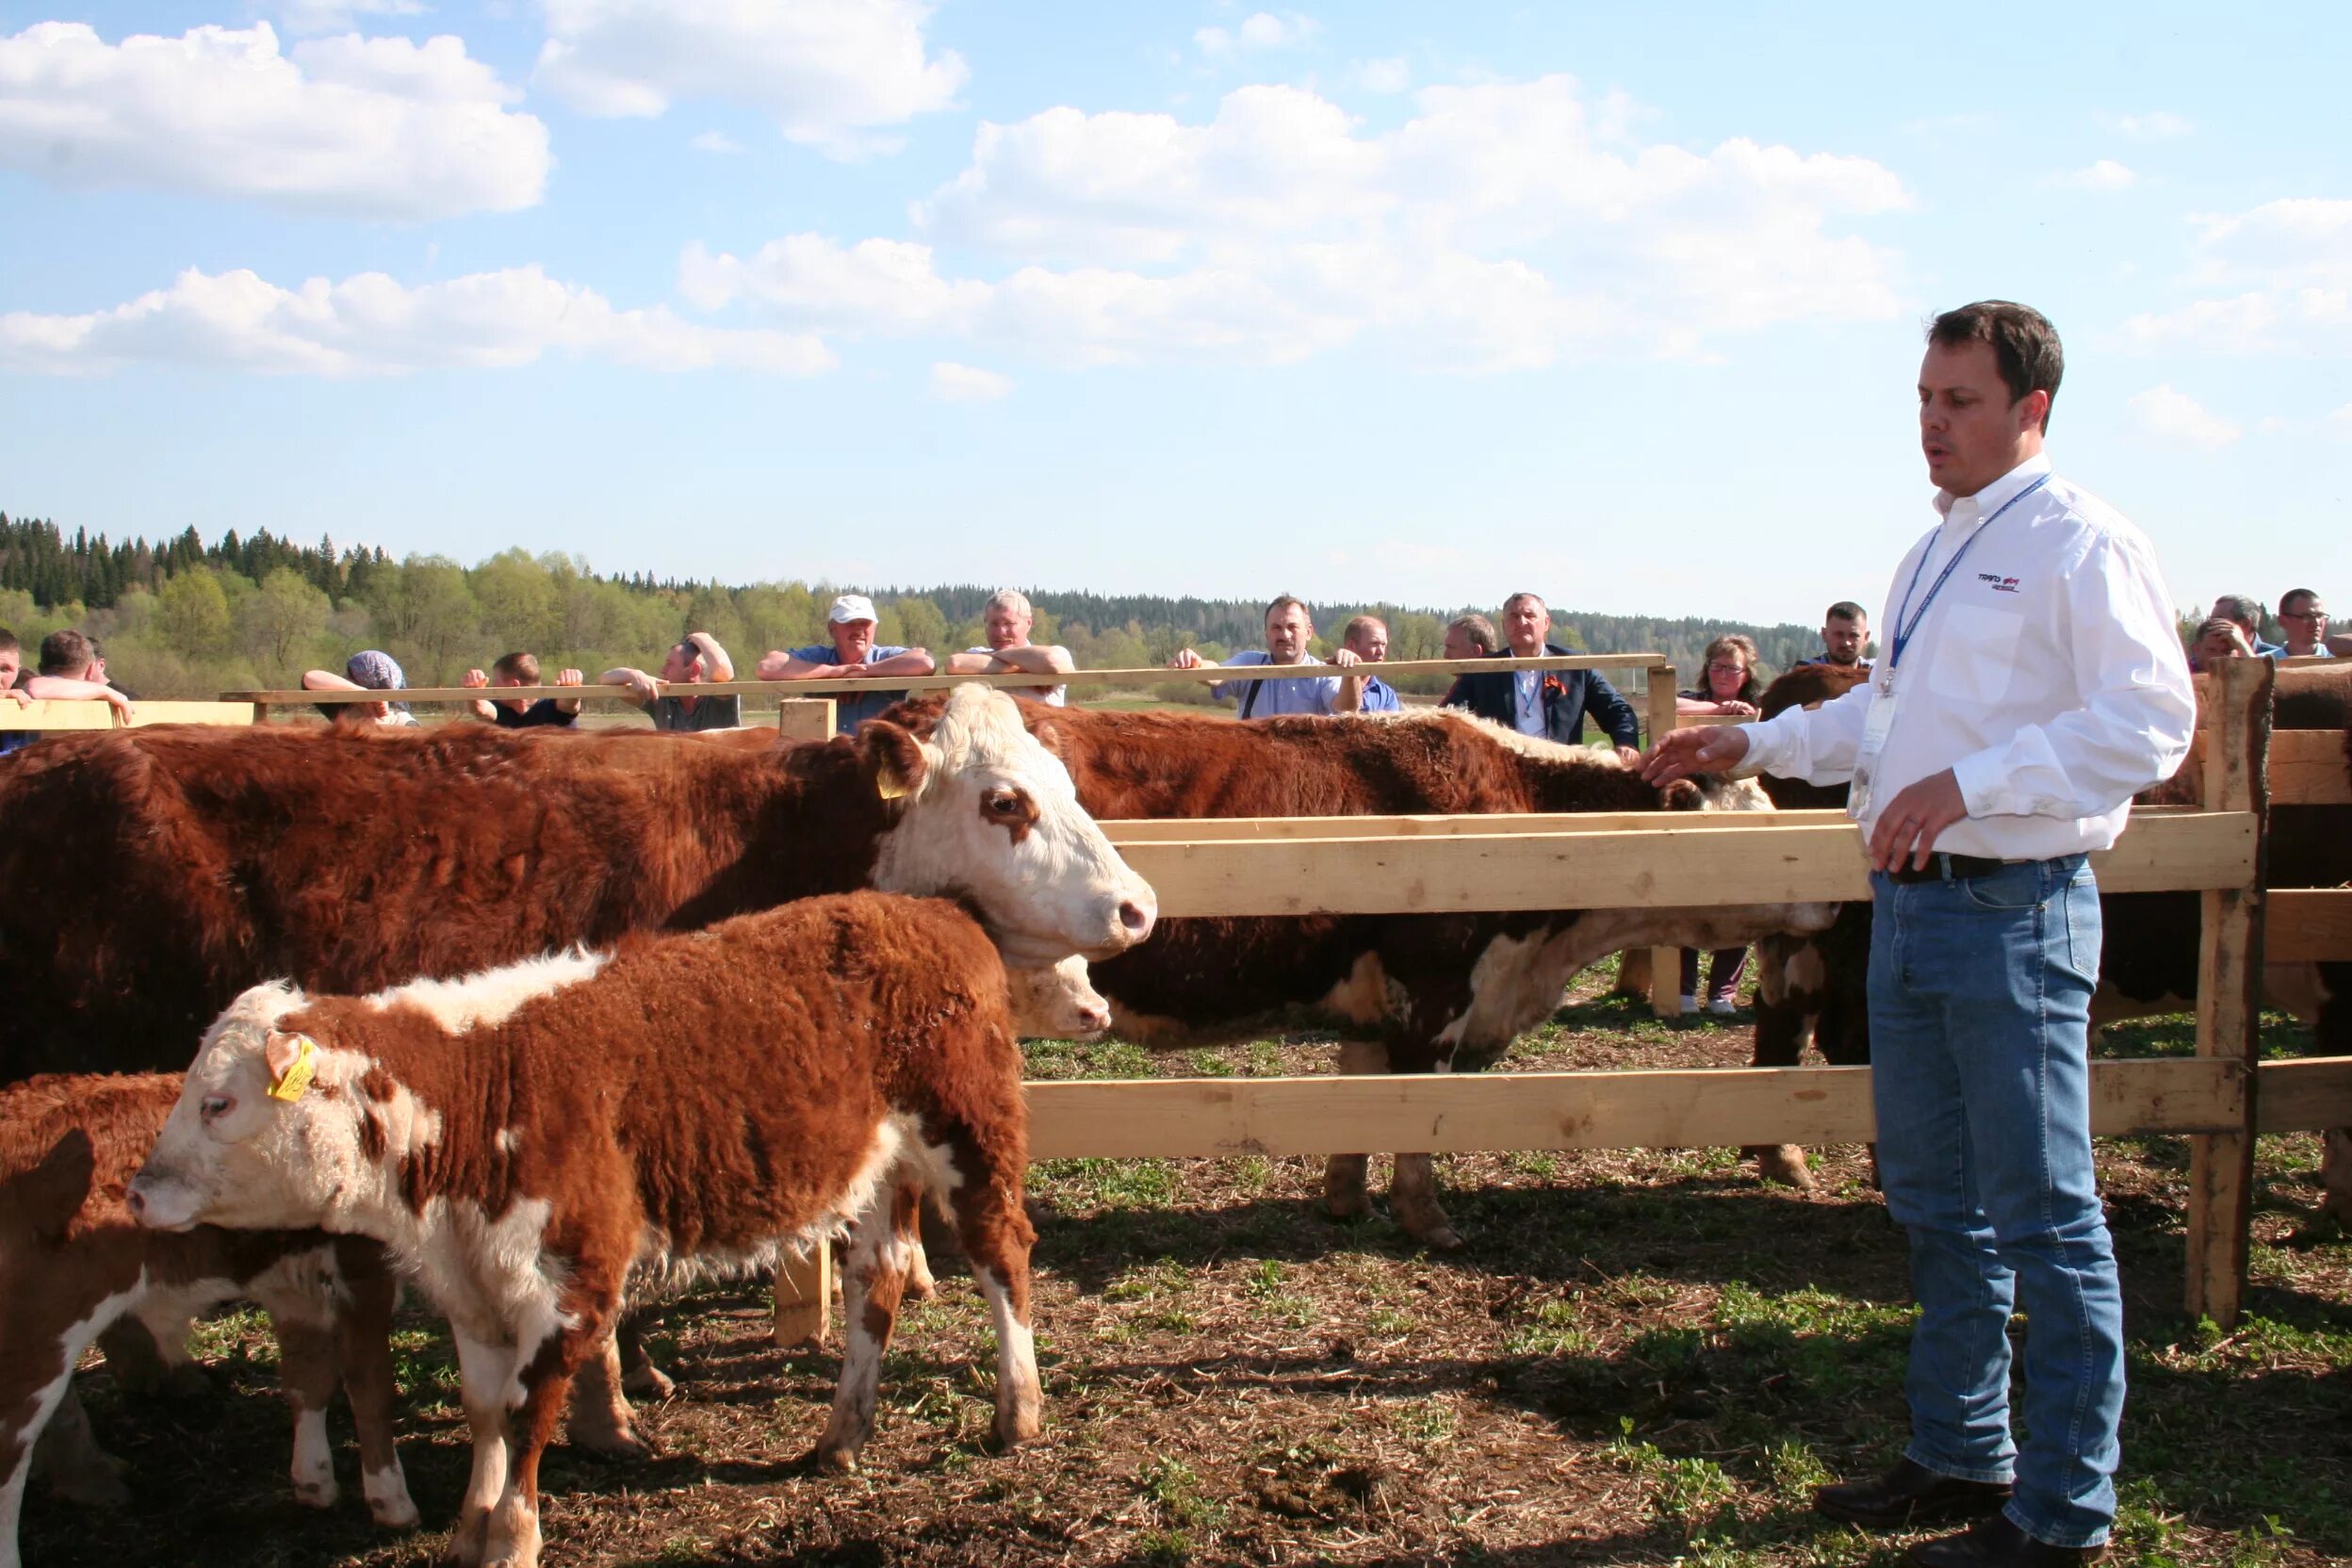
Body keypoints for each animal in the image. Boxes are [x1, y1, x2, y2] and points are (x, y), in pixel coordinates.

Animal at [0, 1071, 414, 1568]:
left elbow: (307, 1379)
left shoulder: (292, 1288)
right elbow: (370, 1387)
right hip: (40, 1328)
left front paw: (314, 1483)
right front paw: (392, 1502)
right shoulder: (364, 1267)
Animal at [128, 893, 1044, 1568]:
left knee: (1002, 1257)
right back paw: (843, 1432)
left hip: (970, 1133)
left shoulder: (570, 1282)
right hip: (877, 1170)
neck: (477, 1088)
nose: (137, 1194)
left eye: (218, 1104)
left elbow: (529, 1411)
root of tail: (930, 910)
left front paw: (512, 1539)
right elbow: (484, 1411)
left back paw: (1017, 1409)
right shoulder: (473, 1290)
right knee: (874, 1283)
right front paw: (471, 1527)